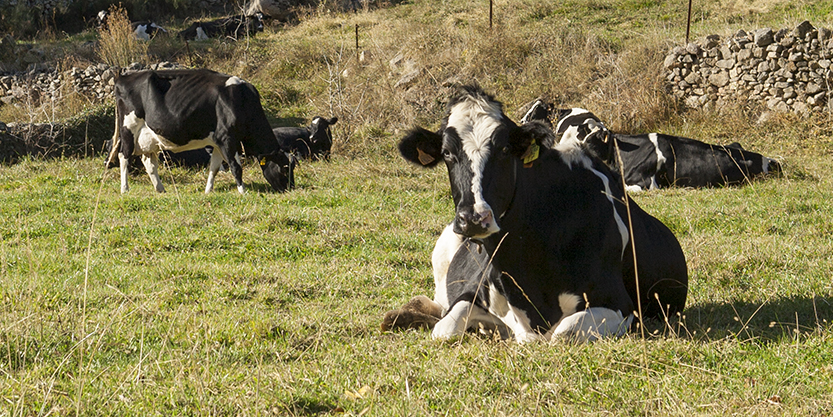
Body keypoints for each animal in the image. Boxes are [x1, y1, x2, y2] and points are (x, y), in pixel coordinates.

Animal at [106, 68, 296, 193]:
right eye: (284, 168)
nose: (291, 189)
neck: (241, 100)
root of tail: (122, 77)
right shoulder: (227, 138)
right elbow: (236, 167)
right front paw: (243, 192)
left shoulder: (218, 142)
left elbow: (215, 167)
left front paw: (208, 191)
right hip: (129, 127)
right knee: (124, 156)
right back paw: (125, 189)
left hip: (149, 137)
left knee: (149, 162)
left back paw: (161, 189)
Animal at [394, 85, 684, 342]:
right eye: (446, 153)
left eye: (504, 149)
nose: (474, 219)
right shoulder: (472, 290)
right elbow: (444, 328)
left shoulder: (620, 304)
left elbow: (563, 333)